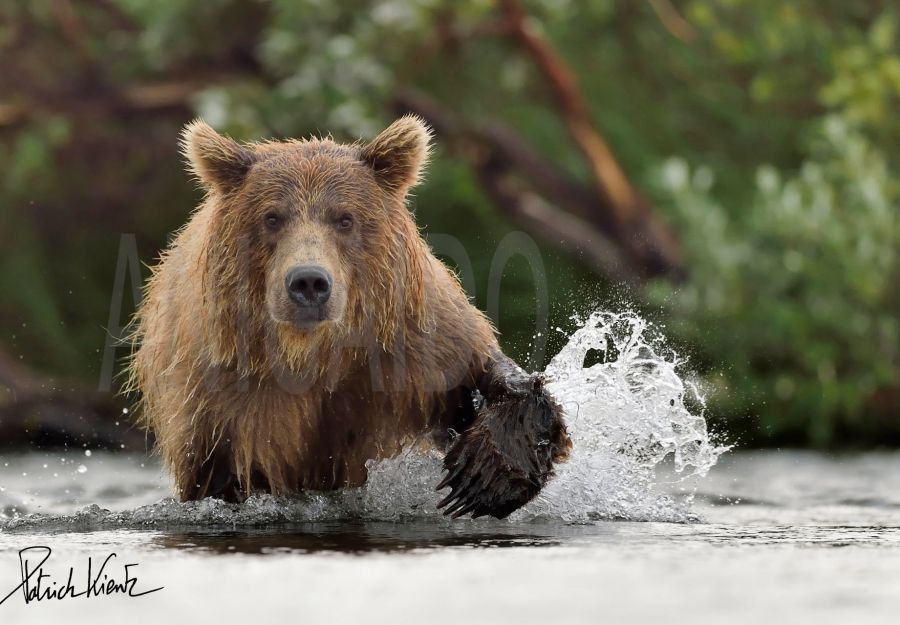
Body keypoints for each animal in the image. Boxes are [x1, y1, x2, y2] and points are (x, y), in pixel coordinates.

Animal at [128, 116, 568, 516]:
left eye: (344, 218)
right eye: (272, 217)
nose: (308, 282)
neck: (314, 353)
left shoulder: (414, 346)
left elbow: (486, 374)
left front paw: (483, 475)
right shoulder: (219, 399)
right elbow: (220, 478)